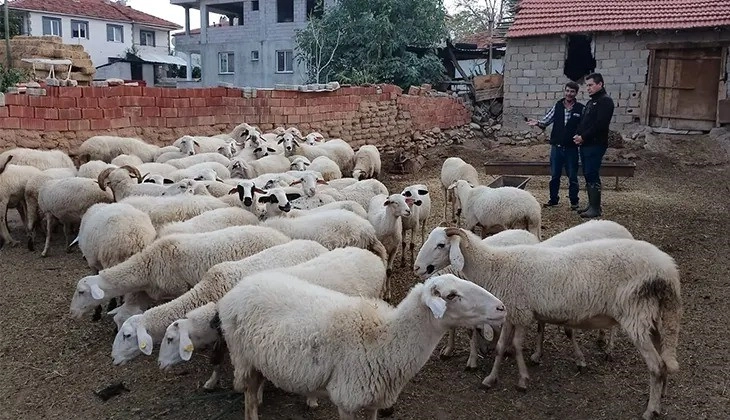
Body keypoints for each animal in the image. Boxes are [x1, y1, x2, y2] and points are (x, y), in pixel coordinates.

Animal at [213, 272, 504, 420]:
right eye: (451, 295)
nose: (501, 307)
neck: (385, 338)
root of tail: (240, 286)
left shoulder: (376, 398)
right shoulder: (347, 399)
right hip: (243, 358)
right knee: (249, 400)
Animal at [412, 228, 680, 418]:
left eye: (441, 245)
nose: (417, 267)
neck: (493, 265)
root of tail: (669, 271)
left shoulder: (520, 312)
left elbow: (516, 345)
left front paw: (522, 380)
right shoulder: (511, 311)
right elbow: (500, 347)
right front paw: (491, 379)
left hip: (637, 315)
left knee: (656, 366)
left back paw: (650, 409)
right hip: (657, 319)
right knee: (664, 363)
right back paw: (661, 397)